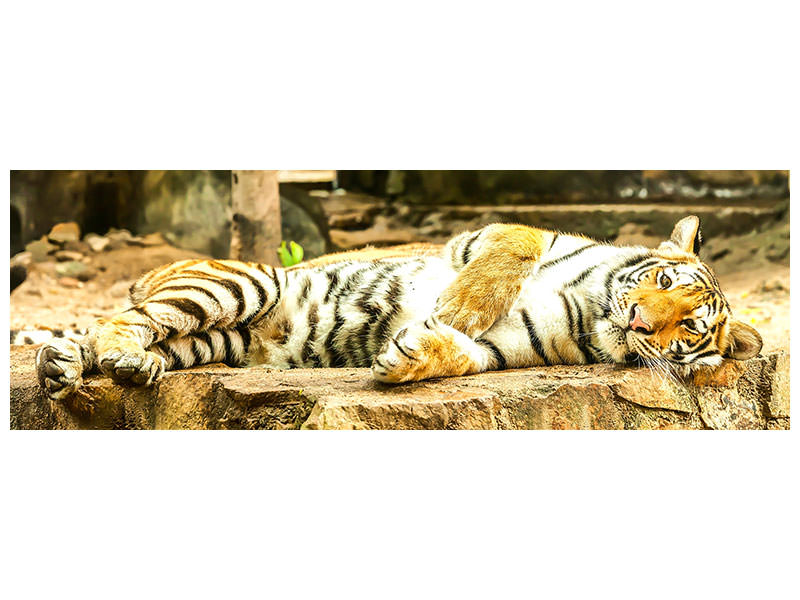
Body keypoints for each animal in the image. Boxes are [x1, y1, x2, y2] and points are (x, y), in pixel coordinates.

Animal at [35, 215, 762, 401]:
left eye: (686, 327)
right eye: (661, 278)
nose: (640, 321)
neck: (591, 309)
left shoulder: (510, 347)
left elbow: (464, 355)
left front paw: (408, 356)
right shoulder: (492, 234)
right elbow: (513, 250)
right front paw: (460, 305)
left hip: (216, 341)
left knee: (116, 338)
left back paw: (80, 370)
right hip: (242, 283)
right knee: (119, 321)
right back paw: (115, 358)